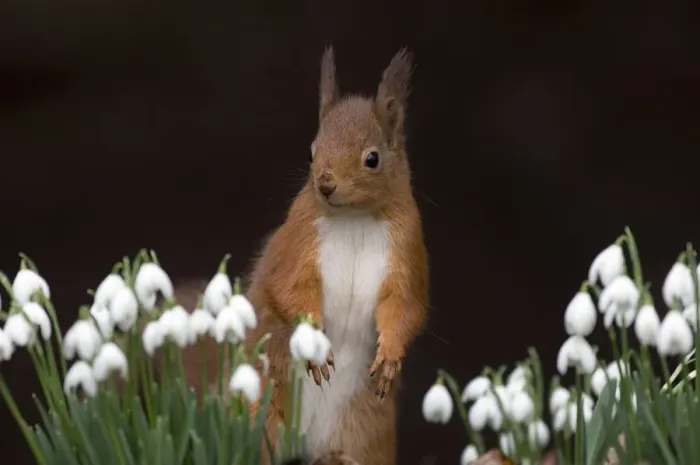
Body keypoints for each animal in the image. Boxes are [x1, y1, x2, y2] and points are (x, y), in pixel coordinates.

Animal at [176, 46, 429, 465]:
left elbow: (404, 305)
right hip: (256, 408)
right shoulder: (298, 240)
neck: (354, 218)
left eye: (372, 158)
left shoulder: (406, 249)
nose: (325, 184)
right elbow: (289, 288)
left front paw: (390, 357)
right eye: (311, 152)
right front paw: (314, 344)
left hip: (367, 428)